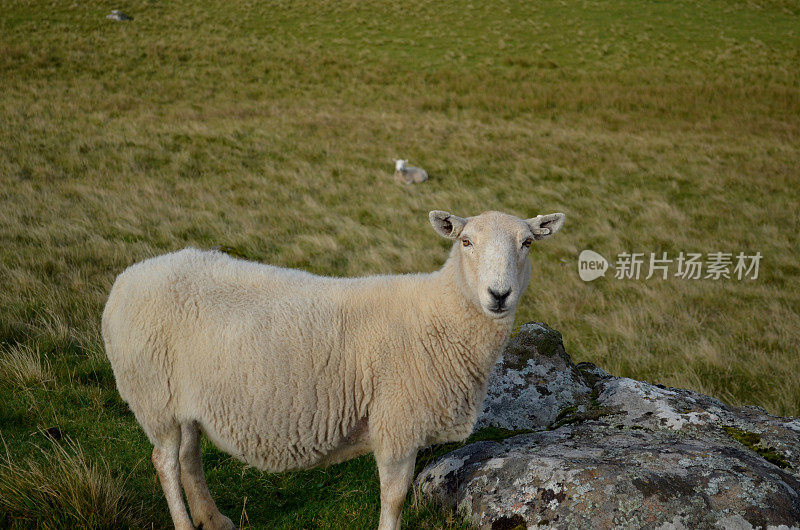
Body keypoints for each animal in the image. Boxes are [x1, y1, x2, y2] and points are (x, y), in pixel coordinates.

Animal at [101, 209, 564, 528]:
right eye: (466, 241)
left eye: (527, 243)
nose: (499, 294)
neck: (439, 315)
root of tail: (126, 279)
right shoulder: (396, 422)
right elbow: (394, 497)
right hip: (153, 396)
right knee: (165, 462)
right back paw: (185, 521)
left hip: (187, 403)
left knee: (189, 458)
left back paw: (213, 520)